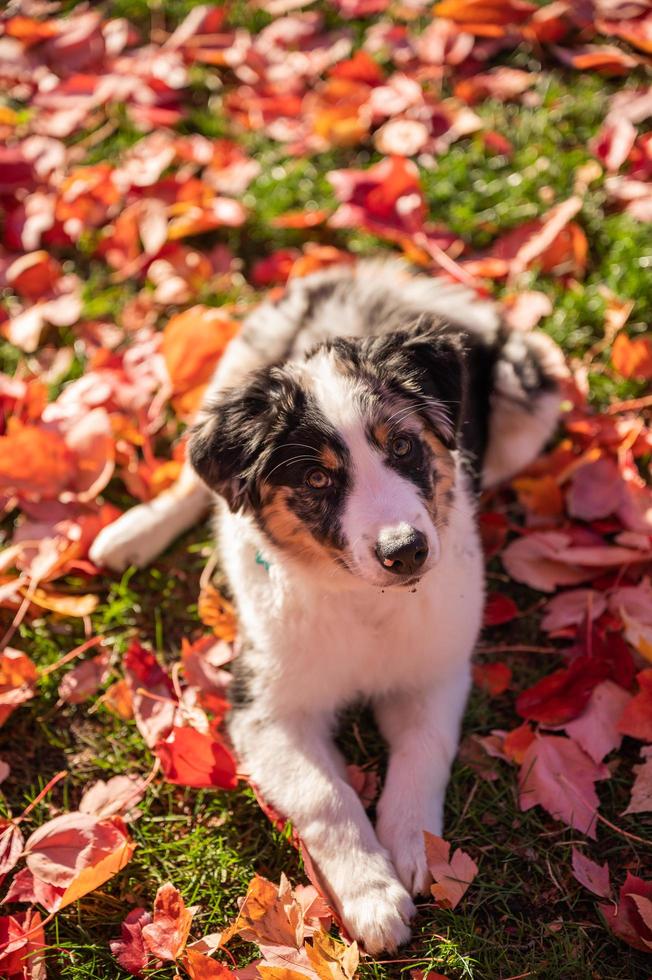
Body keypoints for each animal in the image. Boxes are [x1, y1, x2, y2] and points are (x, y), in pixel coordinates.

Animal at [90, 262, 564, 956]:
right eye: (318, 480)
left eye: (403, 447)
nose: (407, 550)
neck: (363, 601)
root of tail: (385, 275)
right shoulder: (263, 707)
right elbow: (326, 795)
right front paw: (373, 898)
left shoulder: (435, 671)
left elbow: (423, 752)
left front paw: (414, 848)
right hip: (243, 356)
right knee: (193, 480)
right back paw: (129, 534)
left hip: (528, 394)